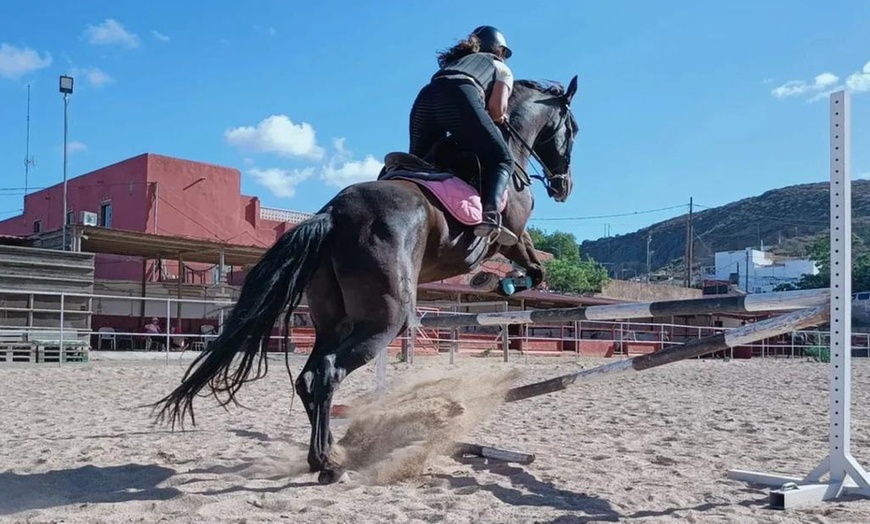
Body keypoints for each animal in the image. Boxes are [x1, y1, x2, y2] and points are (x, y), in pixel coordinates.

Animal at [154, 75, 584, 486]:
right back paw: (327, 463)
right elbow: (536, 268)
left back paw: (332, 451)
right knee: (328, 373)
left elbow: (536, 268)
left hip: (334, 321)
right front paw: (498, 283)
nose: (564, 186)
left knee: (310, 377)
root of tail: (332, 214)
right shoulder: (513, 235)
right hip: (384, 321)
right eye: (573, 129)